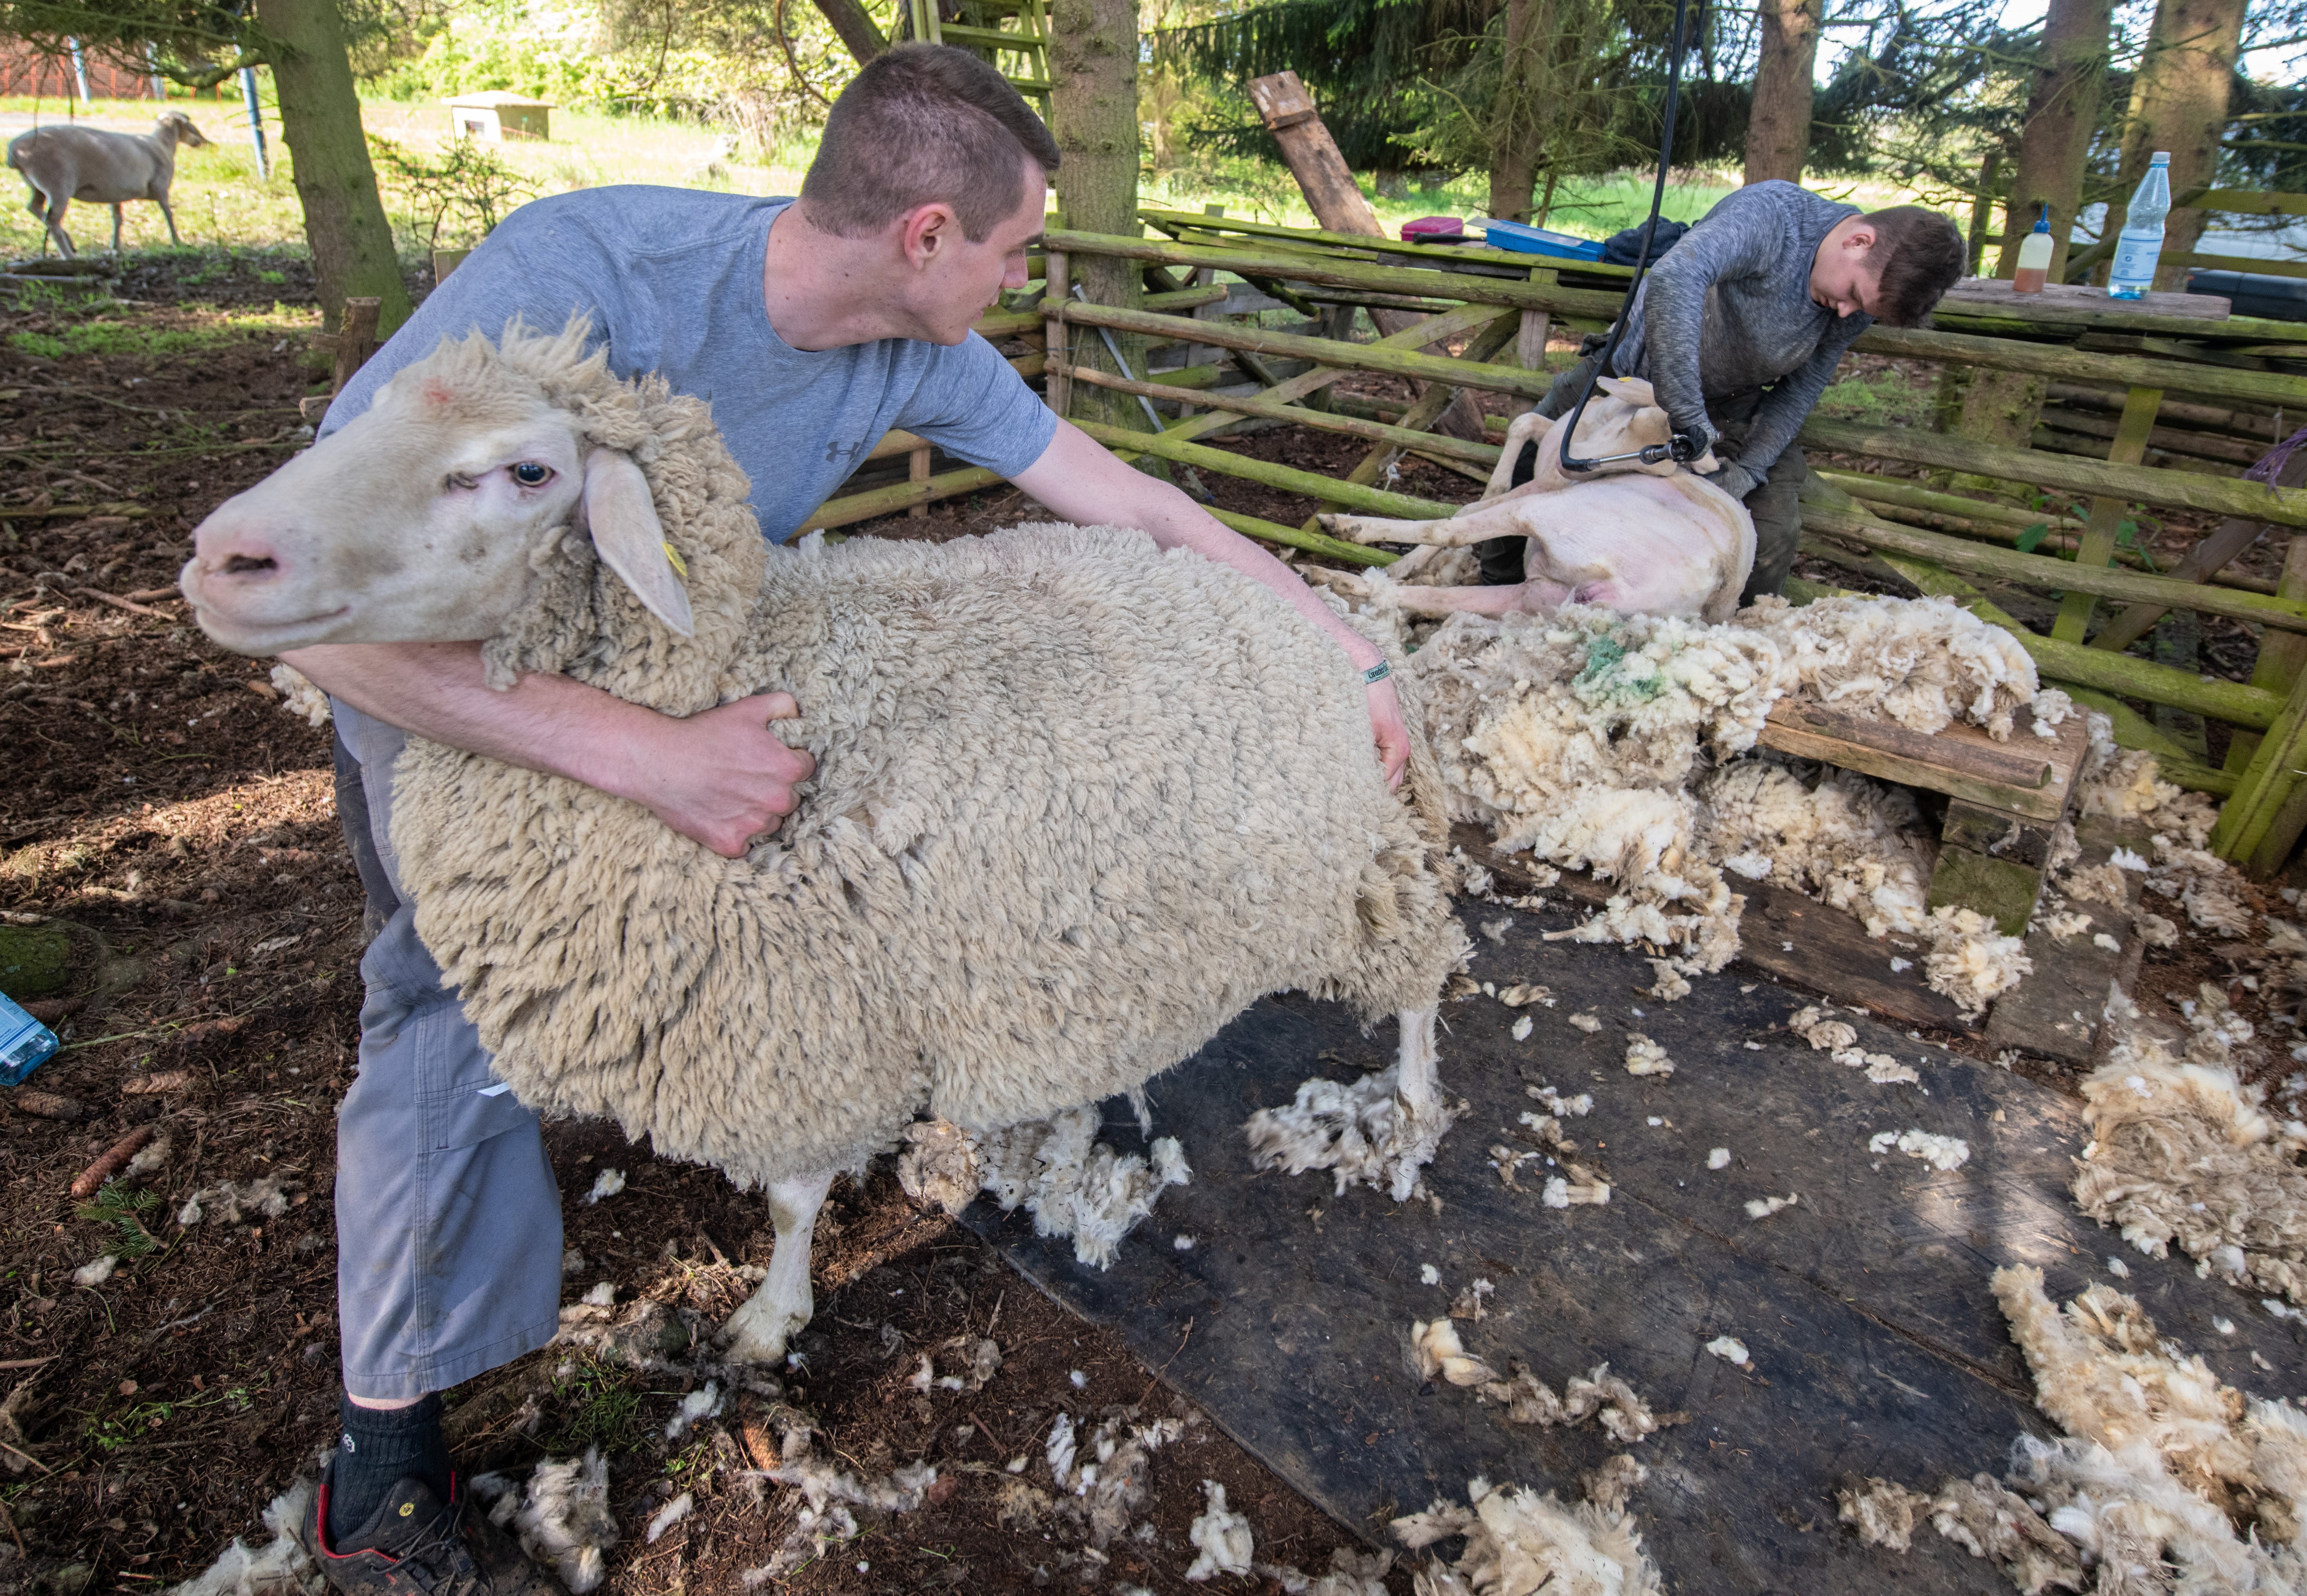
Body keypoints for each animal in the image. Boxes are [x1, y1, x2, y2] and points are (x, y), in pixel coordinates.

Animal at [6, 109, 209, 256]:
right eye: (191, 124)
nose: (203, 141)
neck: (164, 144)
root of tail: (15, 152)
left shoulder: (116, 192)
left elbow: (117, 219)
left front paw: (115, 247)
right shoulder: (161, 187)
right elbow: (168, 214)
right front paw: (178, 241)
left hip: (37, 186)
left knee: (35, 208)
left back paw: (70, 243)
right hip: (58, 184)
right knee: (52, 220)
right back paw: (68, 255)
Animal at [1320, 376, 1744, 622]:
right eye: (1636, 424)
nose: (1572, 469)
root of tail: (1716, 585)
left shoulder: (1548, 485)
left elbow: (1466, 512)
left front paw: (1405, 558)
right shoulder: (1553, 452)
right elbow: (1522, 425)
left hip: (1552, 517)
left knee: (1453, 532)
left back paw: (1346, 529)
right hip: (1539, 595)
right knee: (1429, 597)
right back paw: (1336, 579)